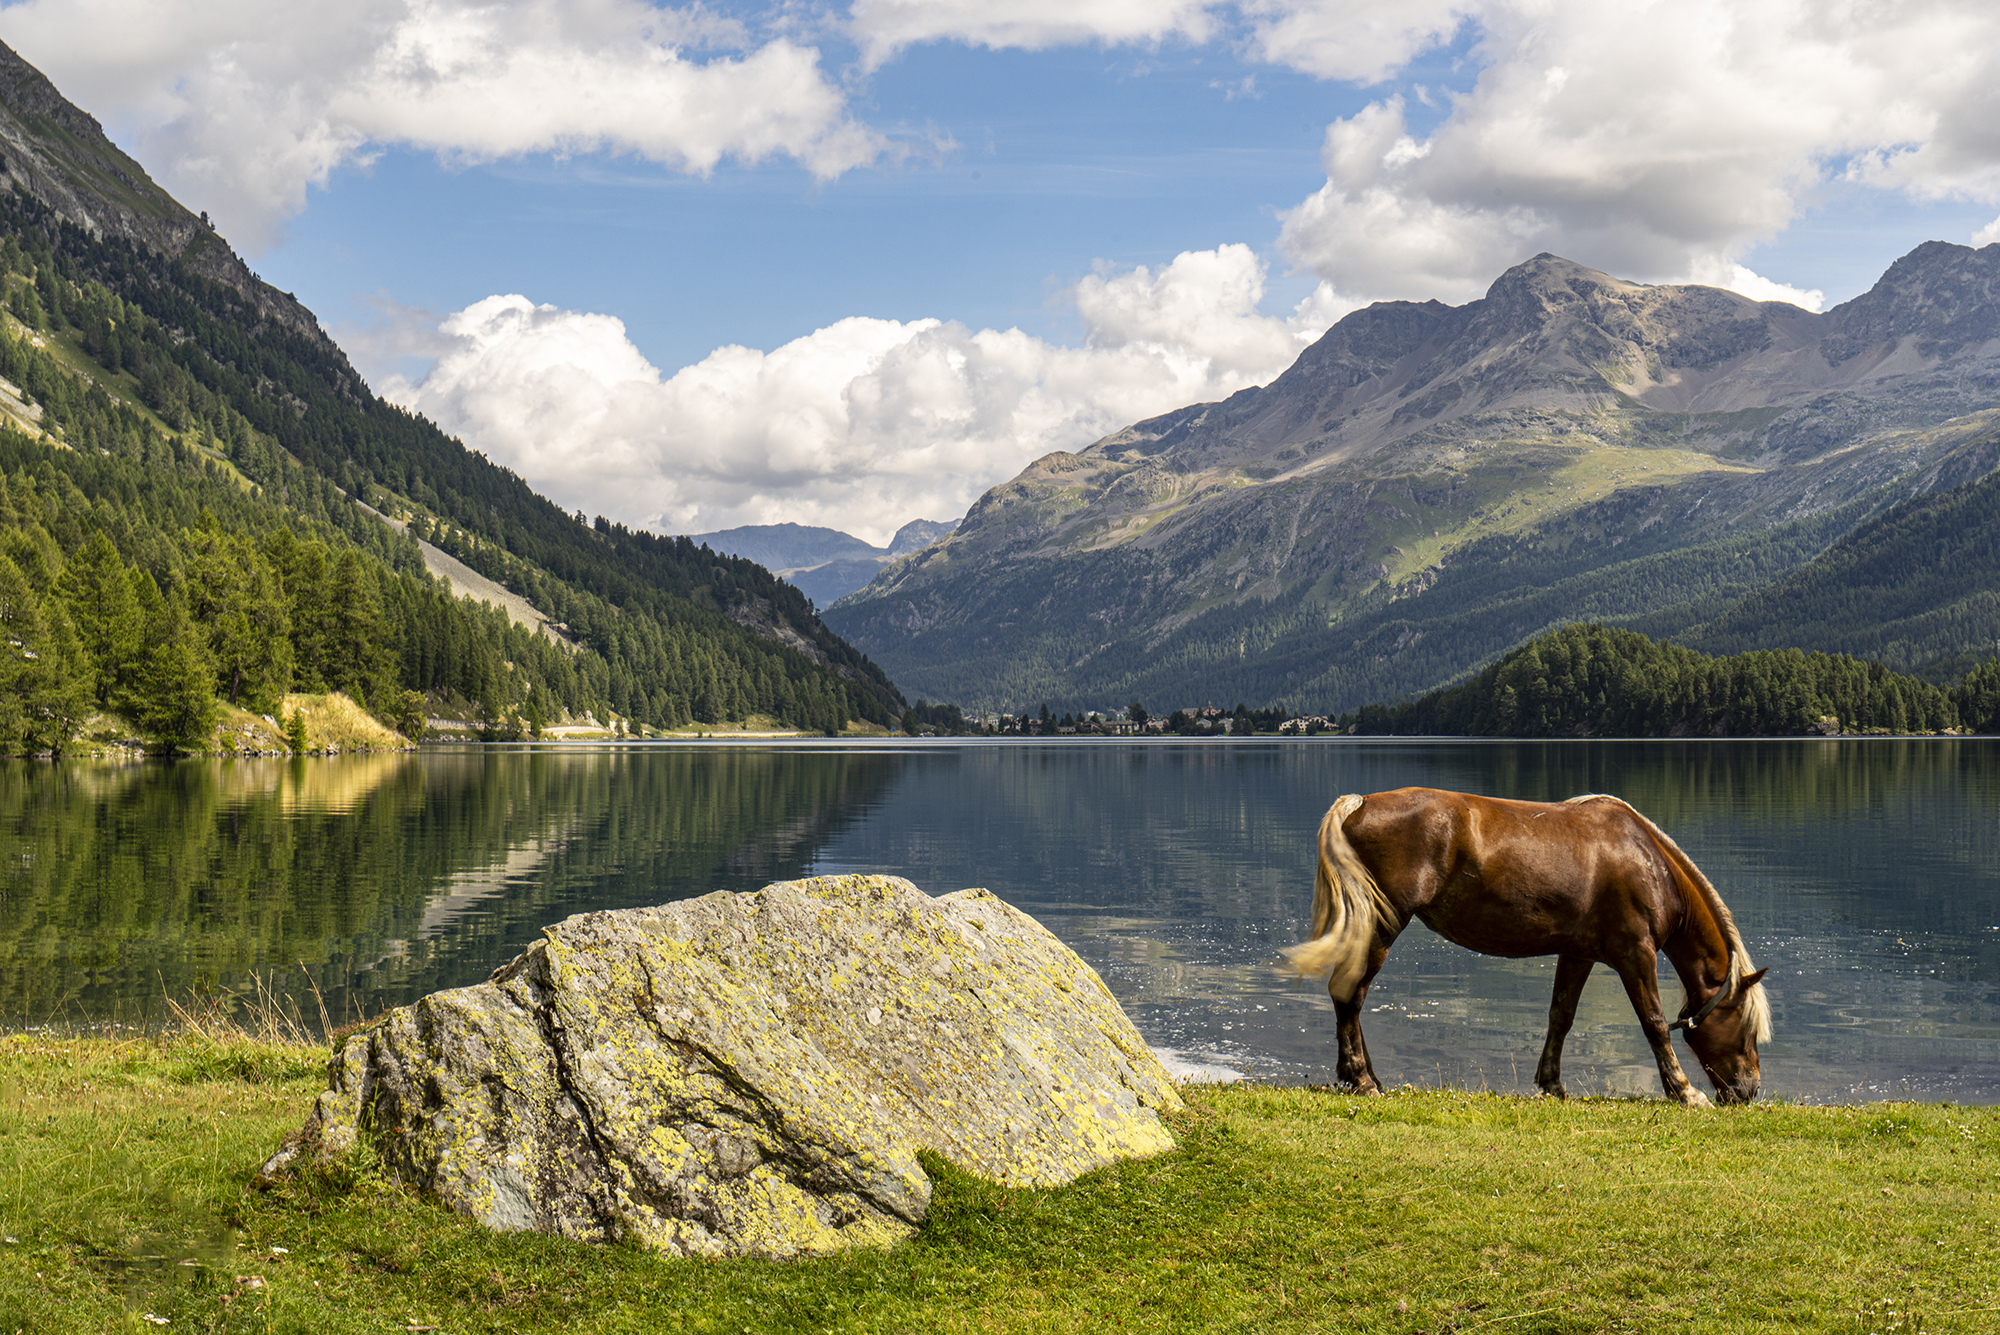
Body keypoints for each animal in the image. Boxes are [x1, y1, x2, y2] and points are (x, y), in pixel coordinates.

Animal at [1280, 791, 1768, 1103]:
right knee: (1351, 994)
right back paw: (1361, 1080)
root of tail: (1361, 803)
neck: (1648, 862)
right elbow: (1654, 1023)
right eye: (1747, 1029)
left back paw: (1368, 1078)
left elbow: (1561, 1016)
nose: (1748, 1091)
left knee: (1350, 995)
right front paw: (1684, 1091)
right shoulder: (1636, 953)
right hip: (1384, 924)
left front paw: (1552, 1083)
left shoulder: (1579, 953)